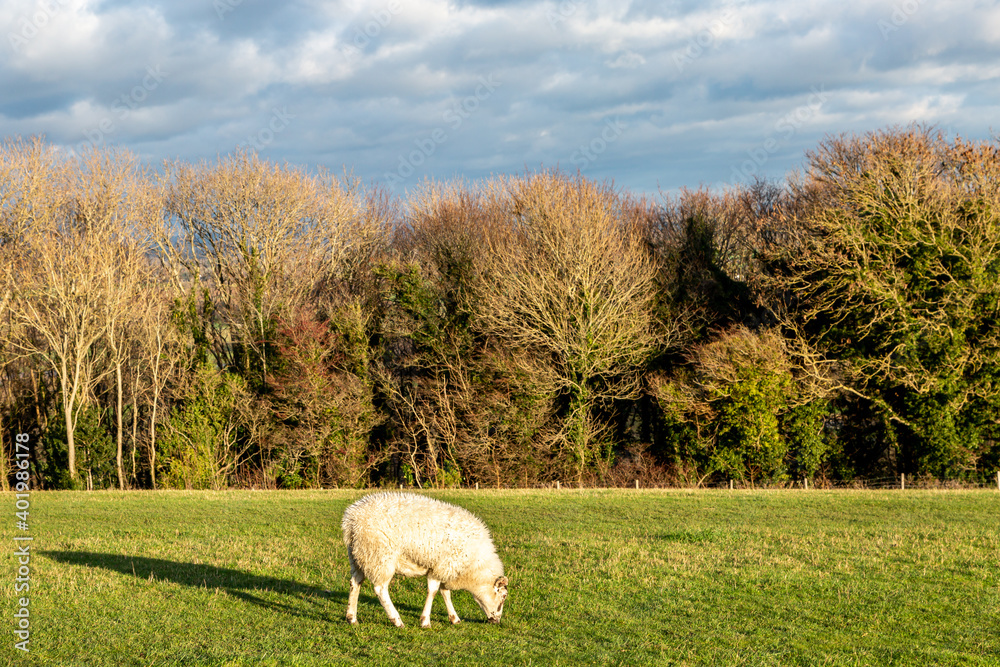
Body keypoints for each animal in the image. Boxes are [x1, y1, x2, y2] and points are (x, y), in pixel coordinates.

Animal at [341, 492, 508, 628]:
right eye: (503, 596)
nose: (497, 621)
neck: (475, 566)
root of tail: (352, 520)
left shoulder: (445, 568)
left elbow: (445, 592)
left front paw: (454, 618)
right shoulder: (442, 567)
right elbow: (433, 591)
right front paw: (425, 621)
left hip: (359, 555)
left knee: (355, 583)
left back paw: (352, 618)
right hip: (380, 556)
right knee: (380, 589)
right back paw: (396, 620)